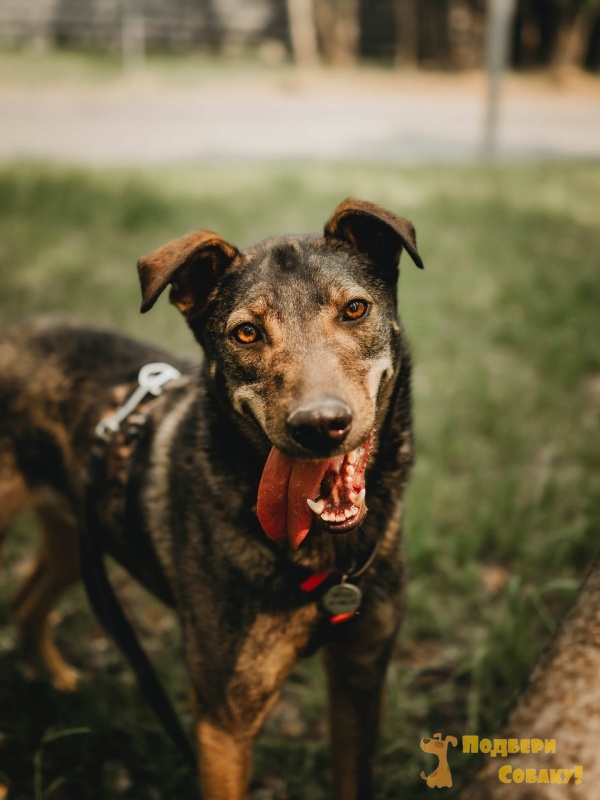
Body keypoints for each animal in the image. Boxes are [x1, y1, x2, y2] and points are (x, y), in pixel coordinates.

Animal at [0, 199, 423, 799]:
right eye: (246, 333)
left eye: (355, 309)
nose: (319, 426)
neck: (325, 558)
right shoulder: (224, 721)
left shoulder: (361, 677)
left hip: (74, 534)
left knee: (28, 601)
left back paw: (59, 681)